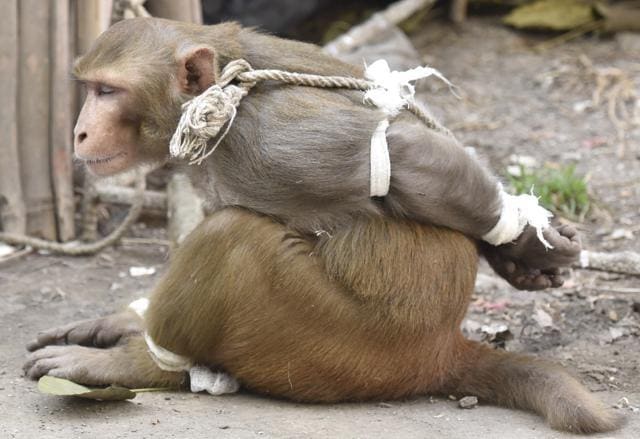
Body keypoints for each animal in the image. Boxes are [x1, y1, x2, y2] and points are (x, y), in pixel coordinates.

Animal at [23, 18, 620, 433]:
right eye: (89, 88)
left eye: (108, 92)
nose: (78, 132)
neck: (227, 90)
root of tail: (439, 348)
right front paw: (523, 252)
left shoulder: (271, 137)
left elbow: (398, 152)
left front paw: (526, 244)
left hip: (336, 350)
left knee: (232, 237)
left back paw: (141, 366)